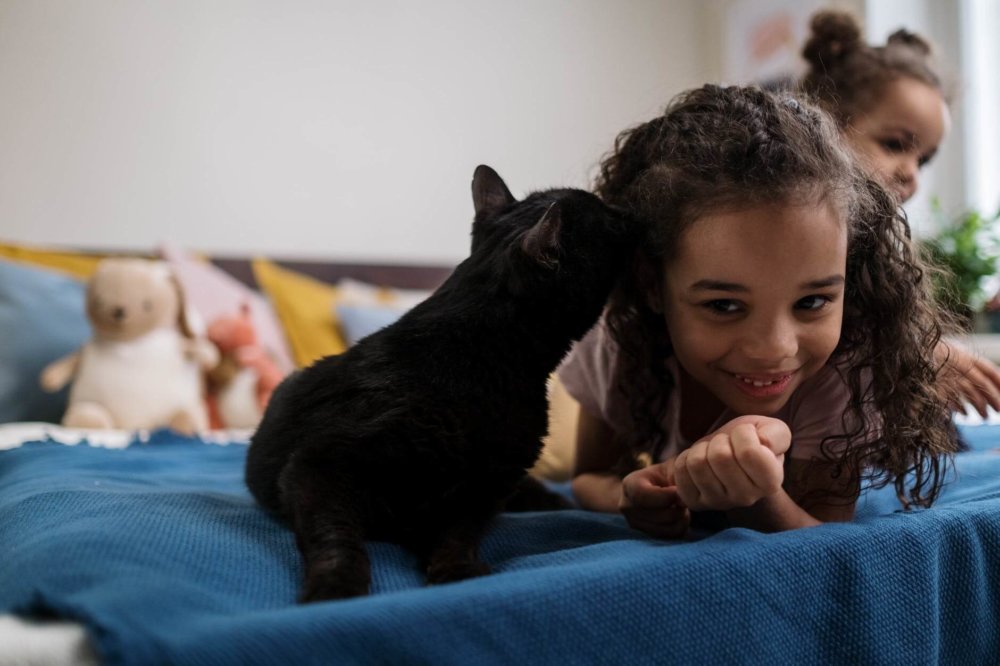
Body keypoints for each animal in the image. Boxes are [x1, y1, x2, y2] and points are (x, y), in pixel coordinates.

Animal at [245, 166, 632, 600]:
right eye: (607, 218)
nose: (624, 212)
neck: (474, 357)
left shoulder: (488, 486)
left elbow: (459, 531)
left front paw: (454, 569)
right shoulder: (318, 465)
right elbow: (335, 535)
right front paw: (335, 588)